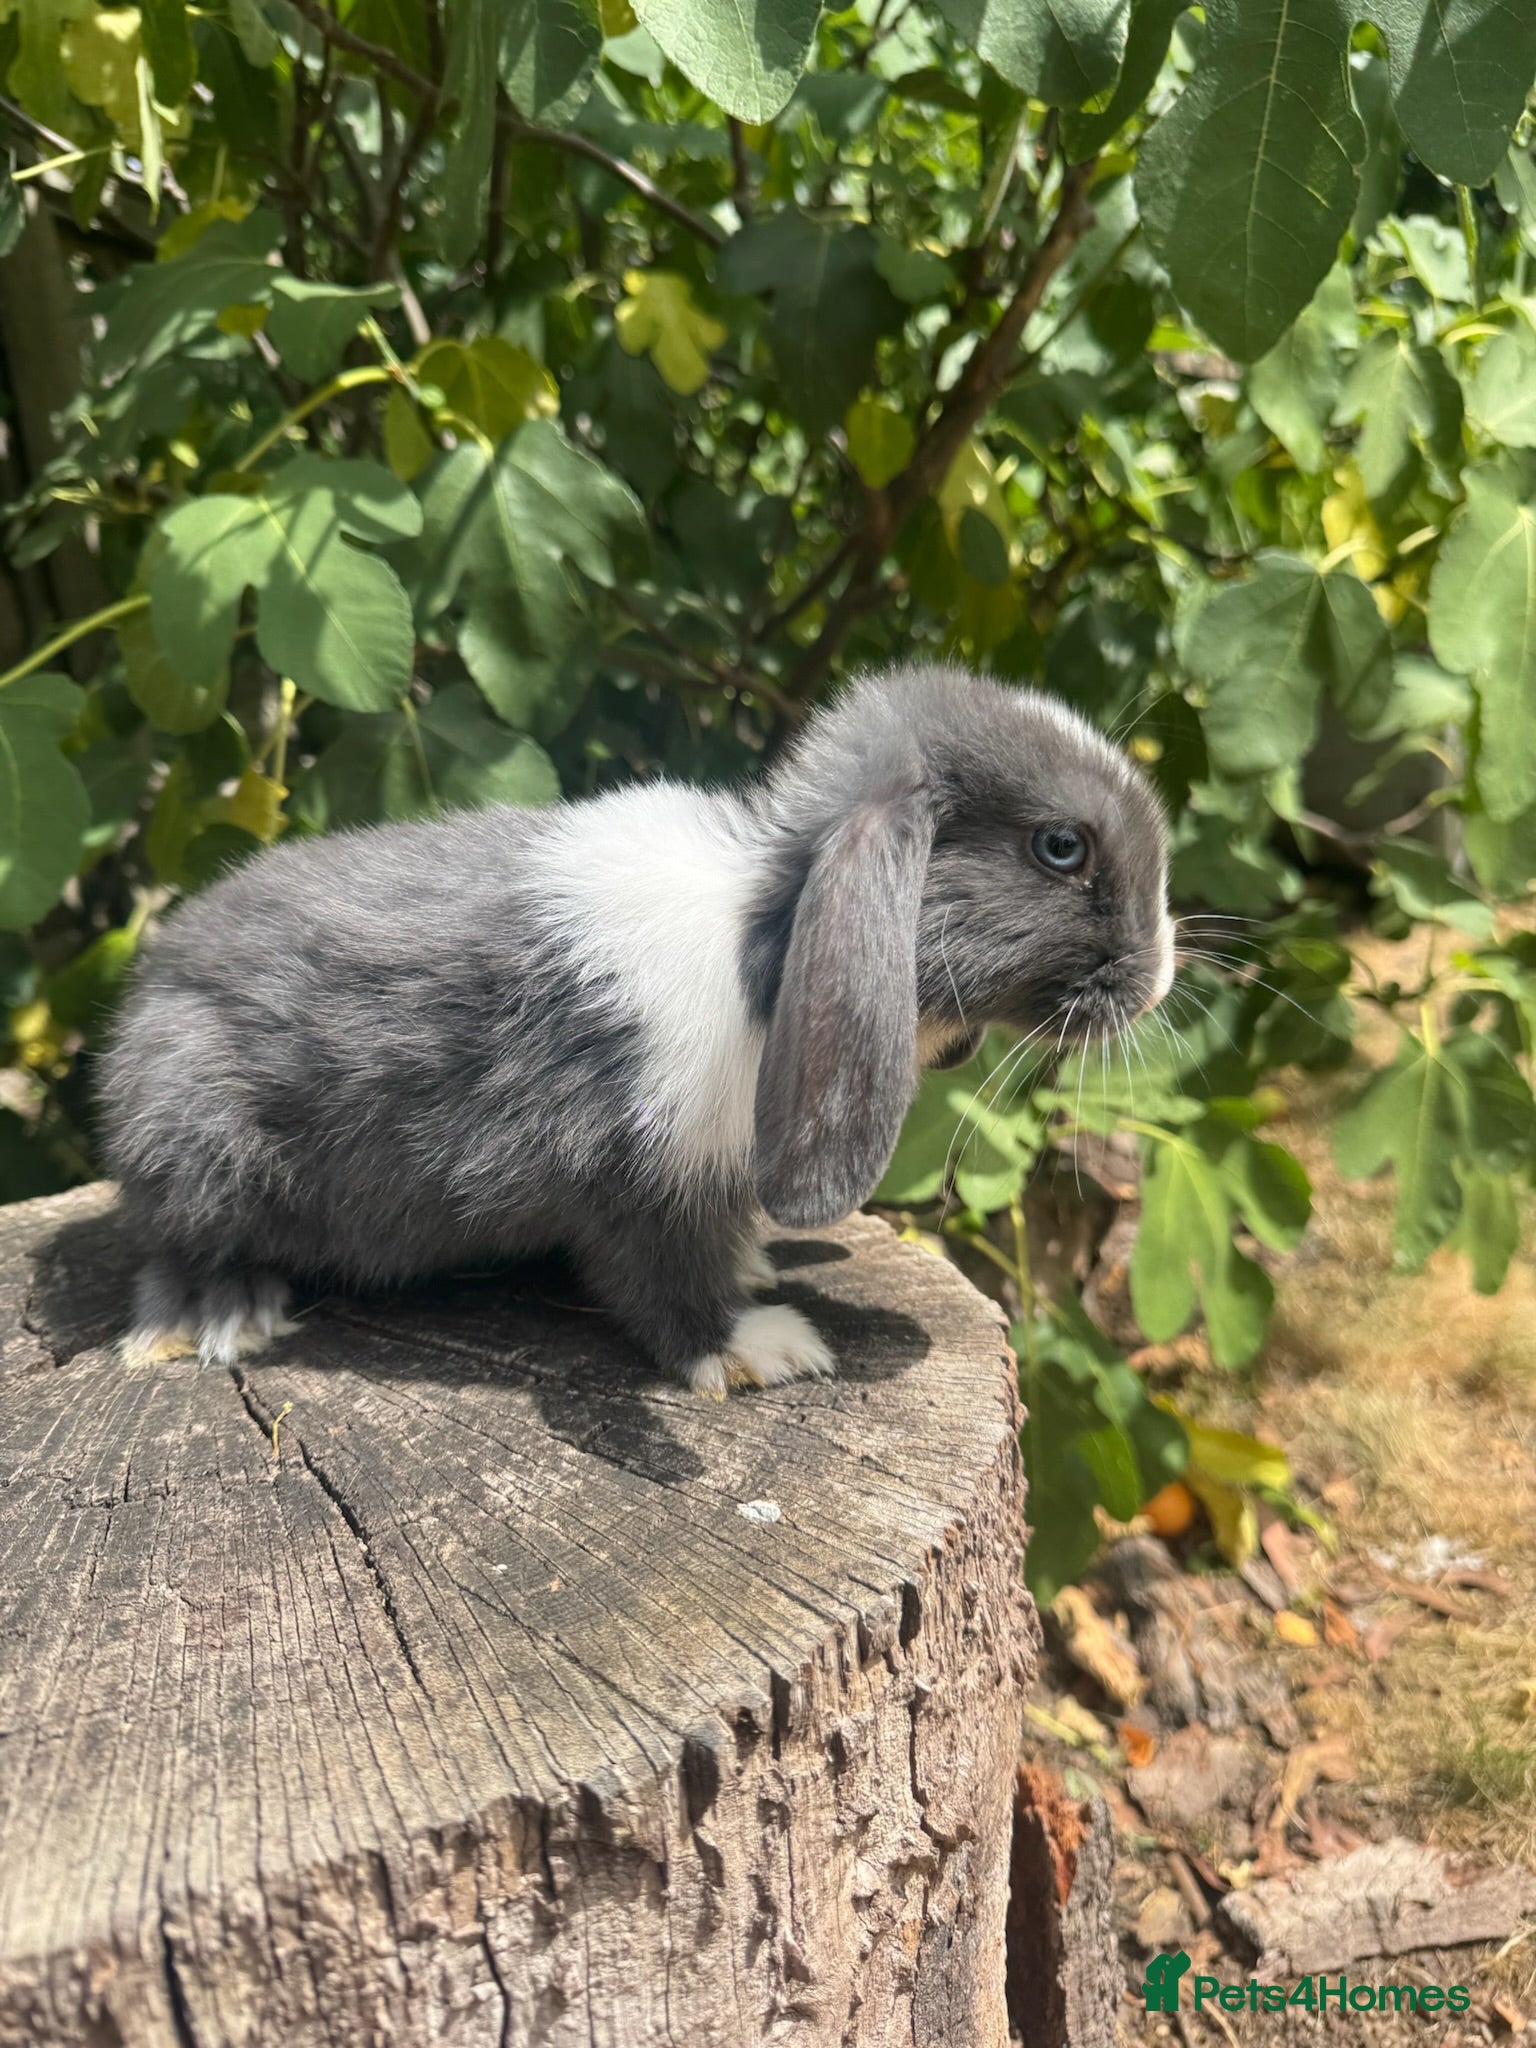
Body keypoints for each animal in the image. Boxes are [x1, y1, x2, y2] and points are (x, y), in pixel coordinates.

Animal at [100, 663, 1174, 1394]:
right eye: (1060, 848)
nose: (1162, 973)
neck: (769, 939)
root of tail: (145, 994)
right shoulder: (633, 1175)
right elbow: (663, 1284)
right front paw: (763, 1349)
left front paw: (757, 1265)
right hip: (198, 1143)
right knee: (167, 1246)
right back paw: (224, 1316)